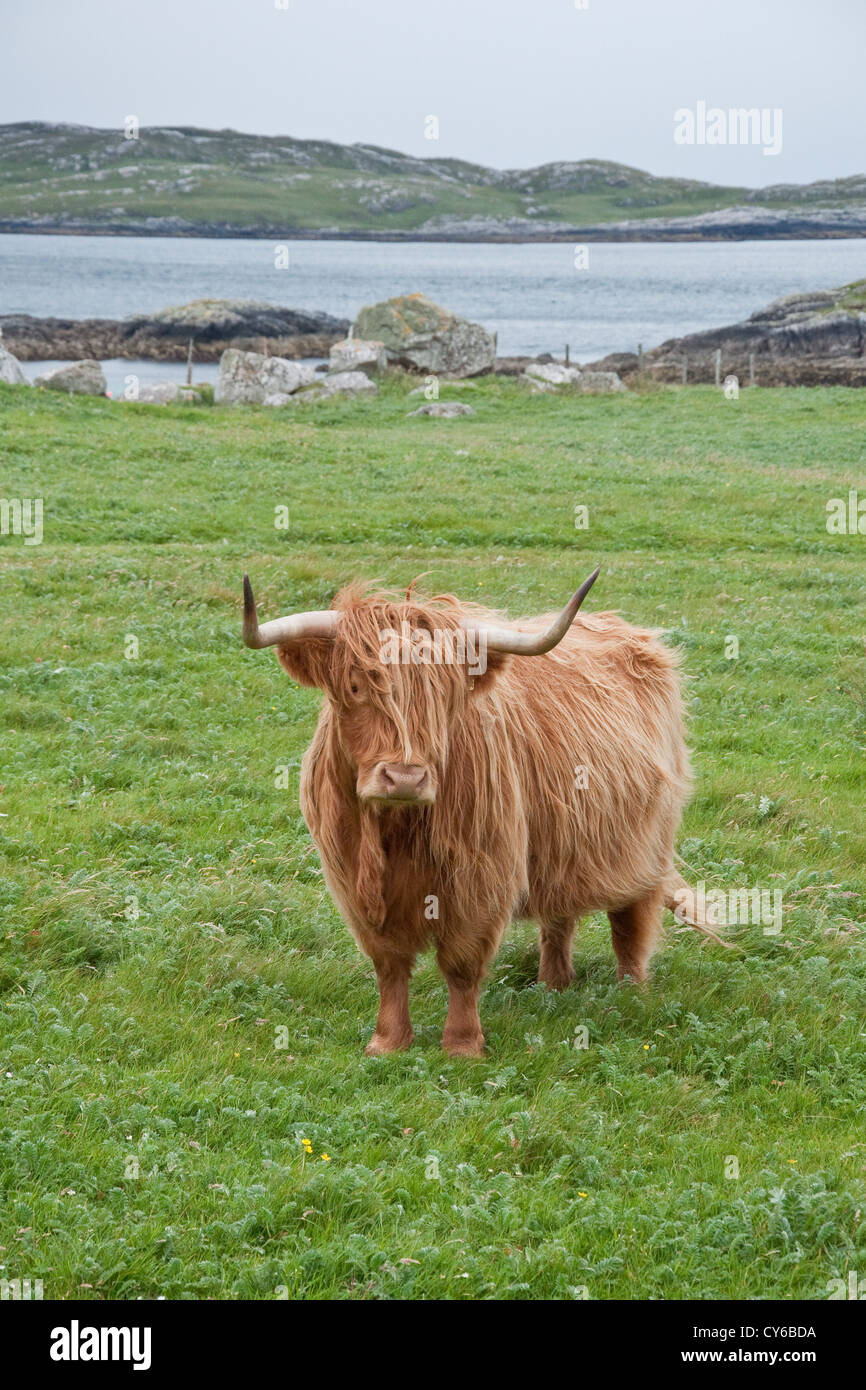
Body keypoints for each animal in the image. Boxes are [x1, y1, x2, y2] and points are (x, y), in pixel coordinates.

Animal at [242, 569, 723, 1057]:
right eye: (356, 686)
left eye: (445, 697)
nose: (404, 778)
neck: (397, 829)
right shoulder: (355, 882)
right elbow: (389, 964)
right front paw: (388, 1041)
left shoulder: (479, 876)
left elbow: (461, 962)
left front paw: (462, 1045)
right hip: (560, 844)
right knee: (558, 917)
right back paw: (552, 986)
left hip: (644, 844)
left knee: (629, 923)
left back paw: (631, 994)